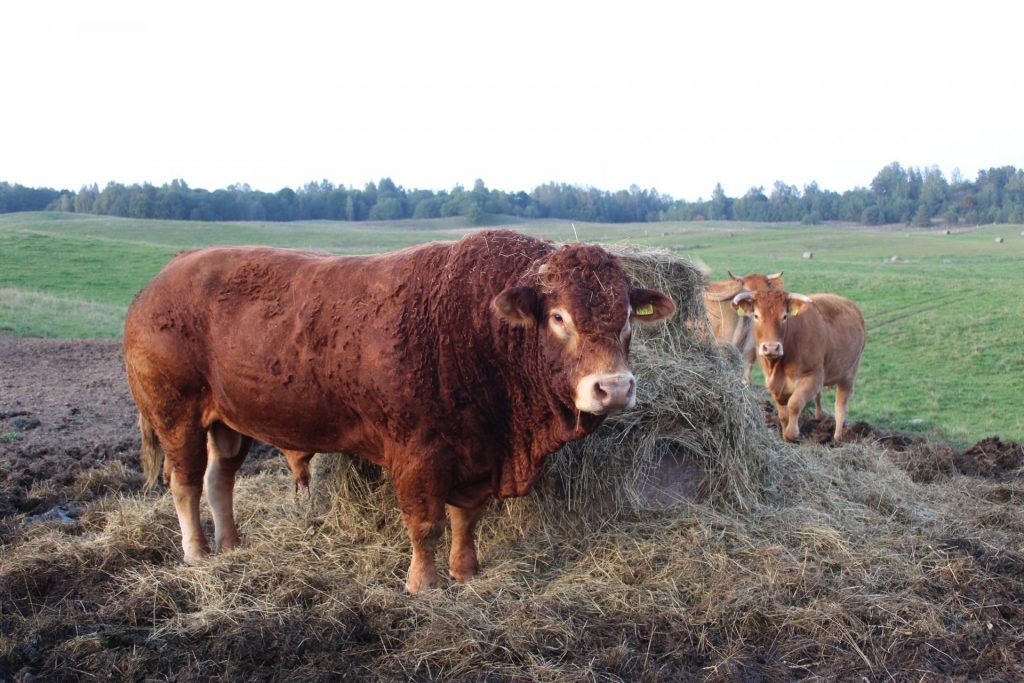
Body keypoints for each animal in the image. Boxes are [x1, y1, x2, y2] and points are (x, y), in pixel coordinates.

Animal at [733, 288, 868, 444]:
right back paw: (819, 416)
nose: (771, 348)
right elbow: (783, 414)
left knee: (840, 407)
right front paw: (785, 435)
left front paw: (792, 434)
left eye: (784, 316)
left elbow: (794, 404)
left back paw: (837, 438)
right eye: (756, 315)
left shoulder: (813, 377)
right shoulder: (774, 384)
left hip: (849, 373)